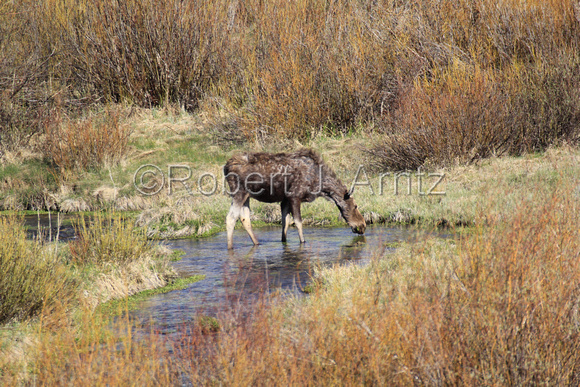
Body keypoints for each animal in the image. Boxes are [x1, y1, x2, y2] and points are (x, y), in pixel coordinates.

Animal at [224, 149, 364, 249]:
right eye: (355, 206)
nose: (362, 225)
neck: (320, 186)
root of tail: (225, 167)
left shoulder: (285, 200)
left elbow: (285, 222)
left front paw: (284, 242)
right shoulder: (294, 196)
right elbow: (298, 222)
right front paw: (303, 242)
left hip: (247, 196)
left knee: (244, 218)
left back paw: (257, 243)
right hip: (239, 192)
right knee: (231, 217)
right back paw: (230, 247)